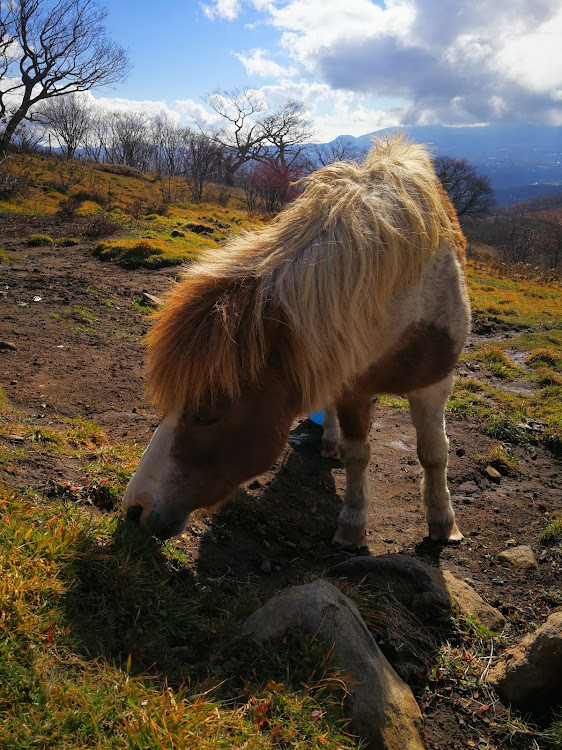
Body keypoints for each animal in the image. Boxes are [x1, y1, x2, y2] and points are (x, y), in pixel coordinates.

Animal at [122, 135, 468, 548]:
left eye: (206, 414)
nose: (134, 509)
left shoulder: (435, 383)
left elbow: (434, 454)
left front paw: (443, 522)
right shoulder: (353, 383)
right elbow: (357, 454)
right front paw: (352, 524)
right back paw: (330, 441)